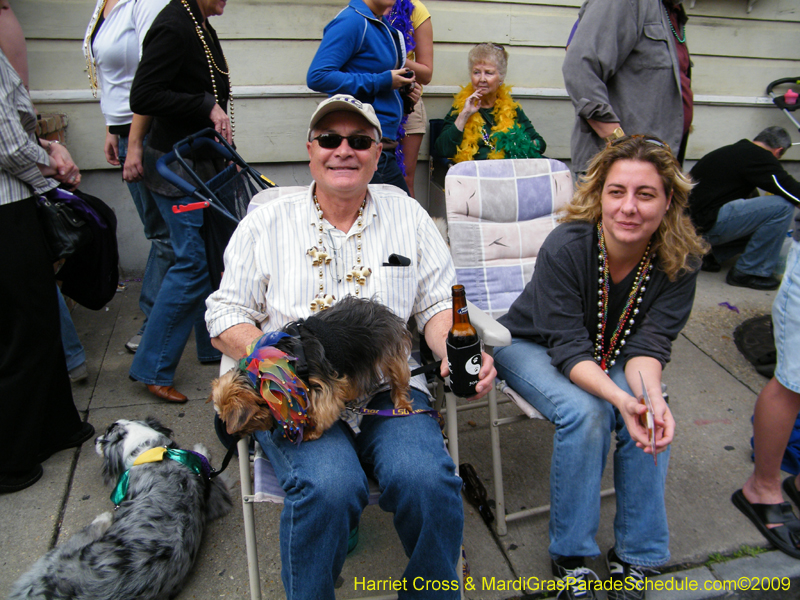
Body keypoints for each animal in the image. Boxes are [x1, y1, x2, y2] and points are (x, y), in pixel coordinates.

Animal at [8, 418, 231, 600]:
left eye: (105, 437)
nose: (94, 440)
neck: (150, 452)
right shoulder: (213, 494)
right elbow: (202, 459)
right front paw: (200, 448)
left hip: (55, 556)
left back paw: (103, 519)